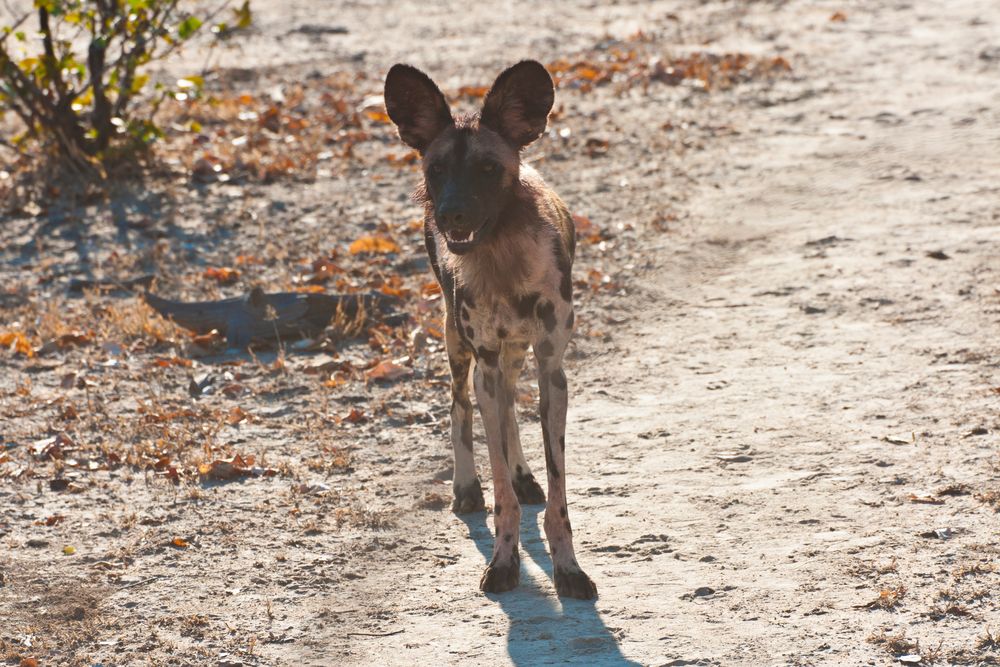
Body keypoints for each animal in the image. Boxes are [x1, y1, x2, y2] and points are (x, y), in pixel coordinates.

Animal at [384, 60, 592, 596]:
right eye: (435, 170)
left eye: (488, 169)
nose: (450, 214)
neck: (502, 258)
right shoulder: (487, 364)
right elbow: (501, 492)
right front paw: (503, 561)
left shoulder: (551, 369)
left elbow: (558, 494)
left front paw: (568, 568)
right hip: (461, 350)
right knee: (460, 407)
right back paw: (465, 487)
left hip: (512, 356)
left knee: (510, 409)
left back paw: (523, 475)